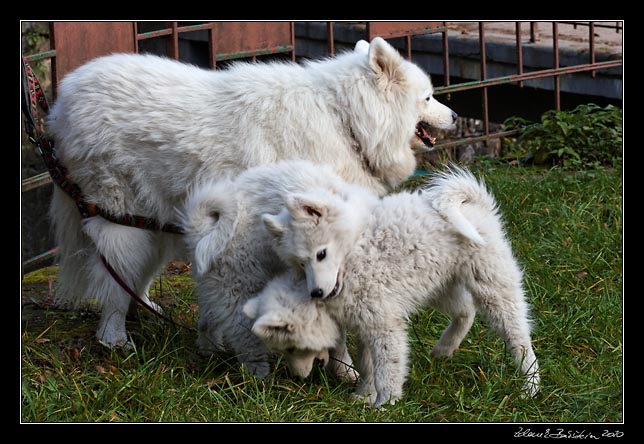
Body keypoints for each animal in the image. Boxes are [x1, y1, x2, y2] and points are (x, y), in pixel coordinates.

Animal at [47, 36, 456, 348]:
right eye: (429, 98)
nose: (454, 116)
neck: (345, 120)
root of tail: (63, 99)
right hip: (120, 218)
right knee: (114, 282)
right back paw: (114, 338)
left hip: (153, 220)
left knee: (133, 275)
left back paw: (145, 308)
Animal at [260, 166, 540, 406]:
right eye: (300, 264)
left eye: (321, 255)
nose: (316, 293)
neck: (355, 250)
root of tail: (477, 204)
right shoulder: (367, 321)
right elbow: (367, 365)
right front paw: (364, 396)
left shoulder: (383, 322)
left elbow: (387, 366)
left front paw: (386, 404)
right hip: (438, 284)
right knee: (466, 310)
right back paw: (444, 349)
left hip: (491, 283)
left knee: (518, 336)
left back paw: (530, 385)